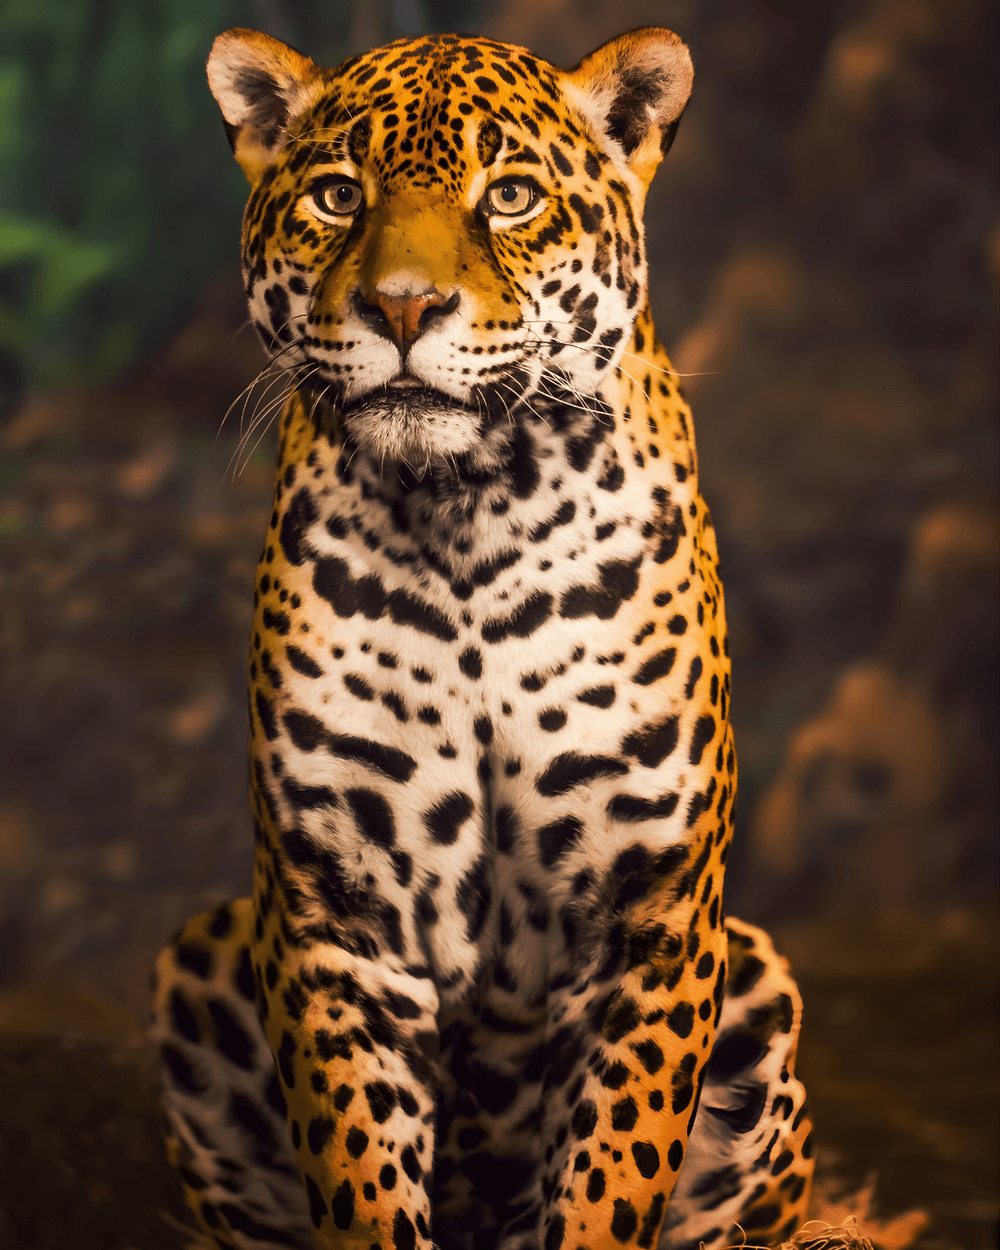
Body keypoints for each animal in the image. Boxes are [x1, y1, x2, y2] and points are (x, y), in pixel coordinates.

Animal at [150, 26, 815, 1250]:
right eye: (336, 195)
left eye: (509, 196)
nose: (405, 309)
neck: (470, 515)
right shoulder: (333, 914)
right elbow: (359, 1176)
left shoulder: (650, 915)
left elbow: (612, 1177)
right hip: (204, 955)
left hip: (755, 976)